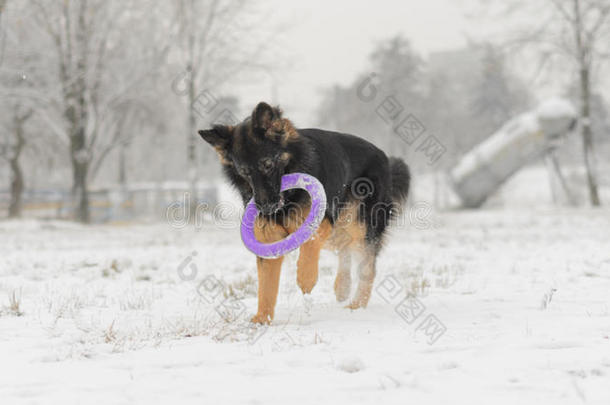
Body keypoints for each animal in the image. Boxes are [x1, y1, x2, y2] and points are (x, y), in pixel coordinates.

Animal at [198, 102, 408, 324]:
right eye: (245, 172)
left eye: (267, 164)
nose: (266, 207)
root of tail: (383, 157)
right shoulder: (268, 241)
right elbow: (266, 286)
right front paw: (261, 320)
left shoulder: (320, 222)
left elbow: (310, 246)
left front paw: (306, 278)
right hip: (338, 232)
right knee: (344, 248)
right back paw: (342, 288)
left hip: (360, 227)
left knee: (367, 265)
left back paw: (357, 306)